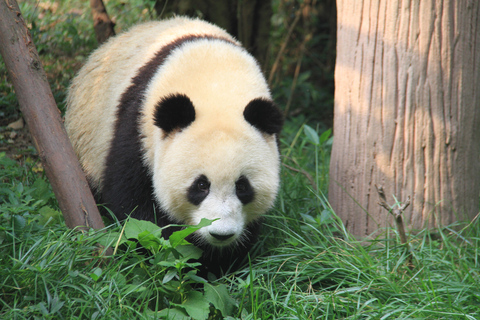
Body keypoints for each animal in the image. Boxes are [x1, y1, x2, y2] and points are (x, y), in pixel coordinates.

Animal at [63, 16, 282, 276]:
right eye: (200, 185)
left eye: (243, 186)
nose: (221, 234)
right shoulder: (138, 129)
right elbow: (136, 208)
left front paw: (220, 263)